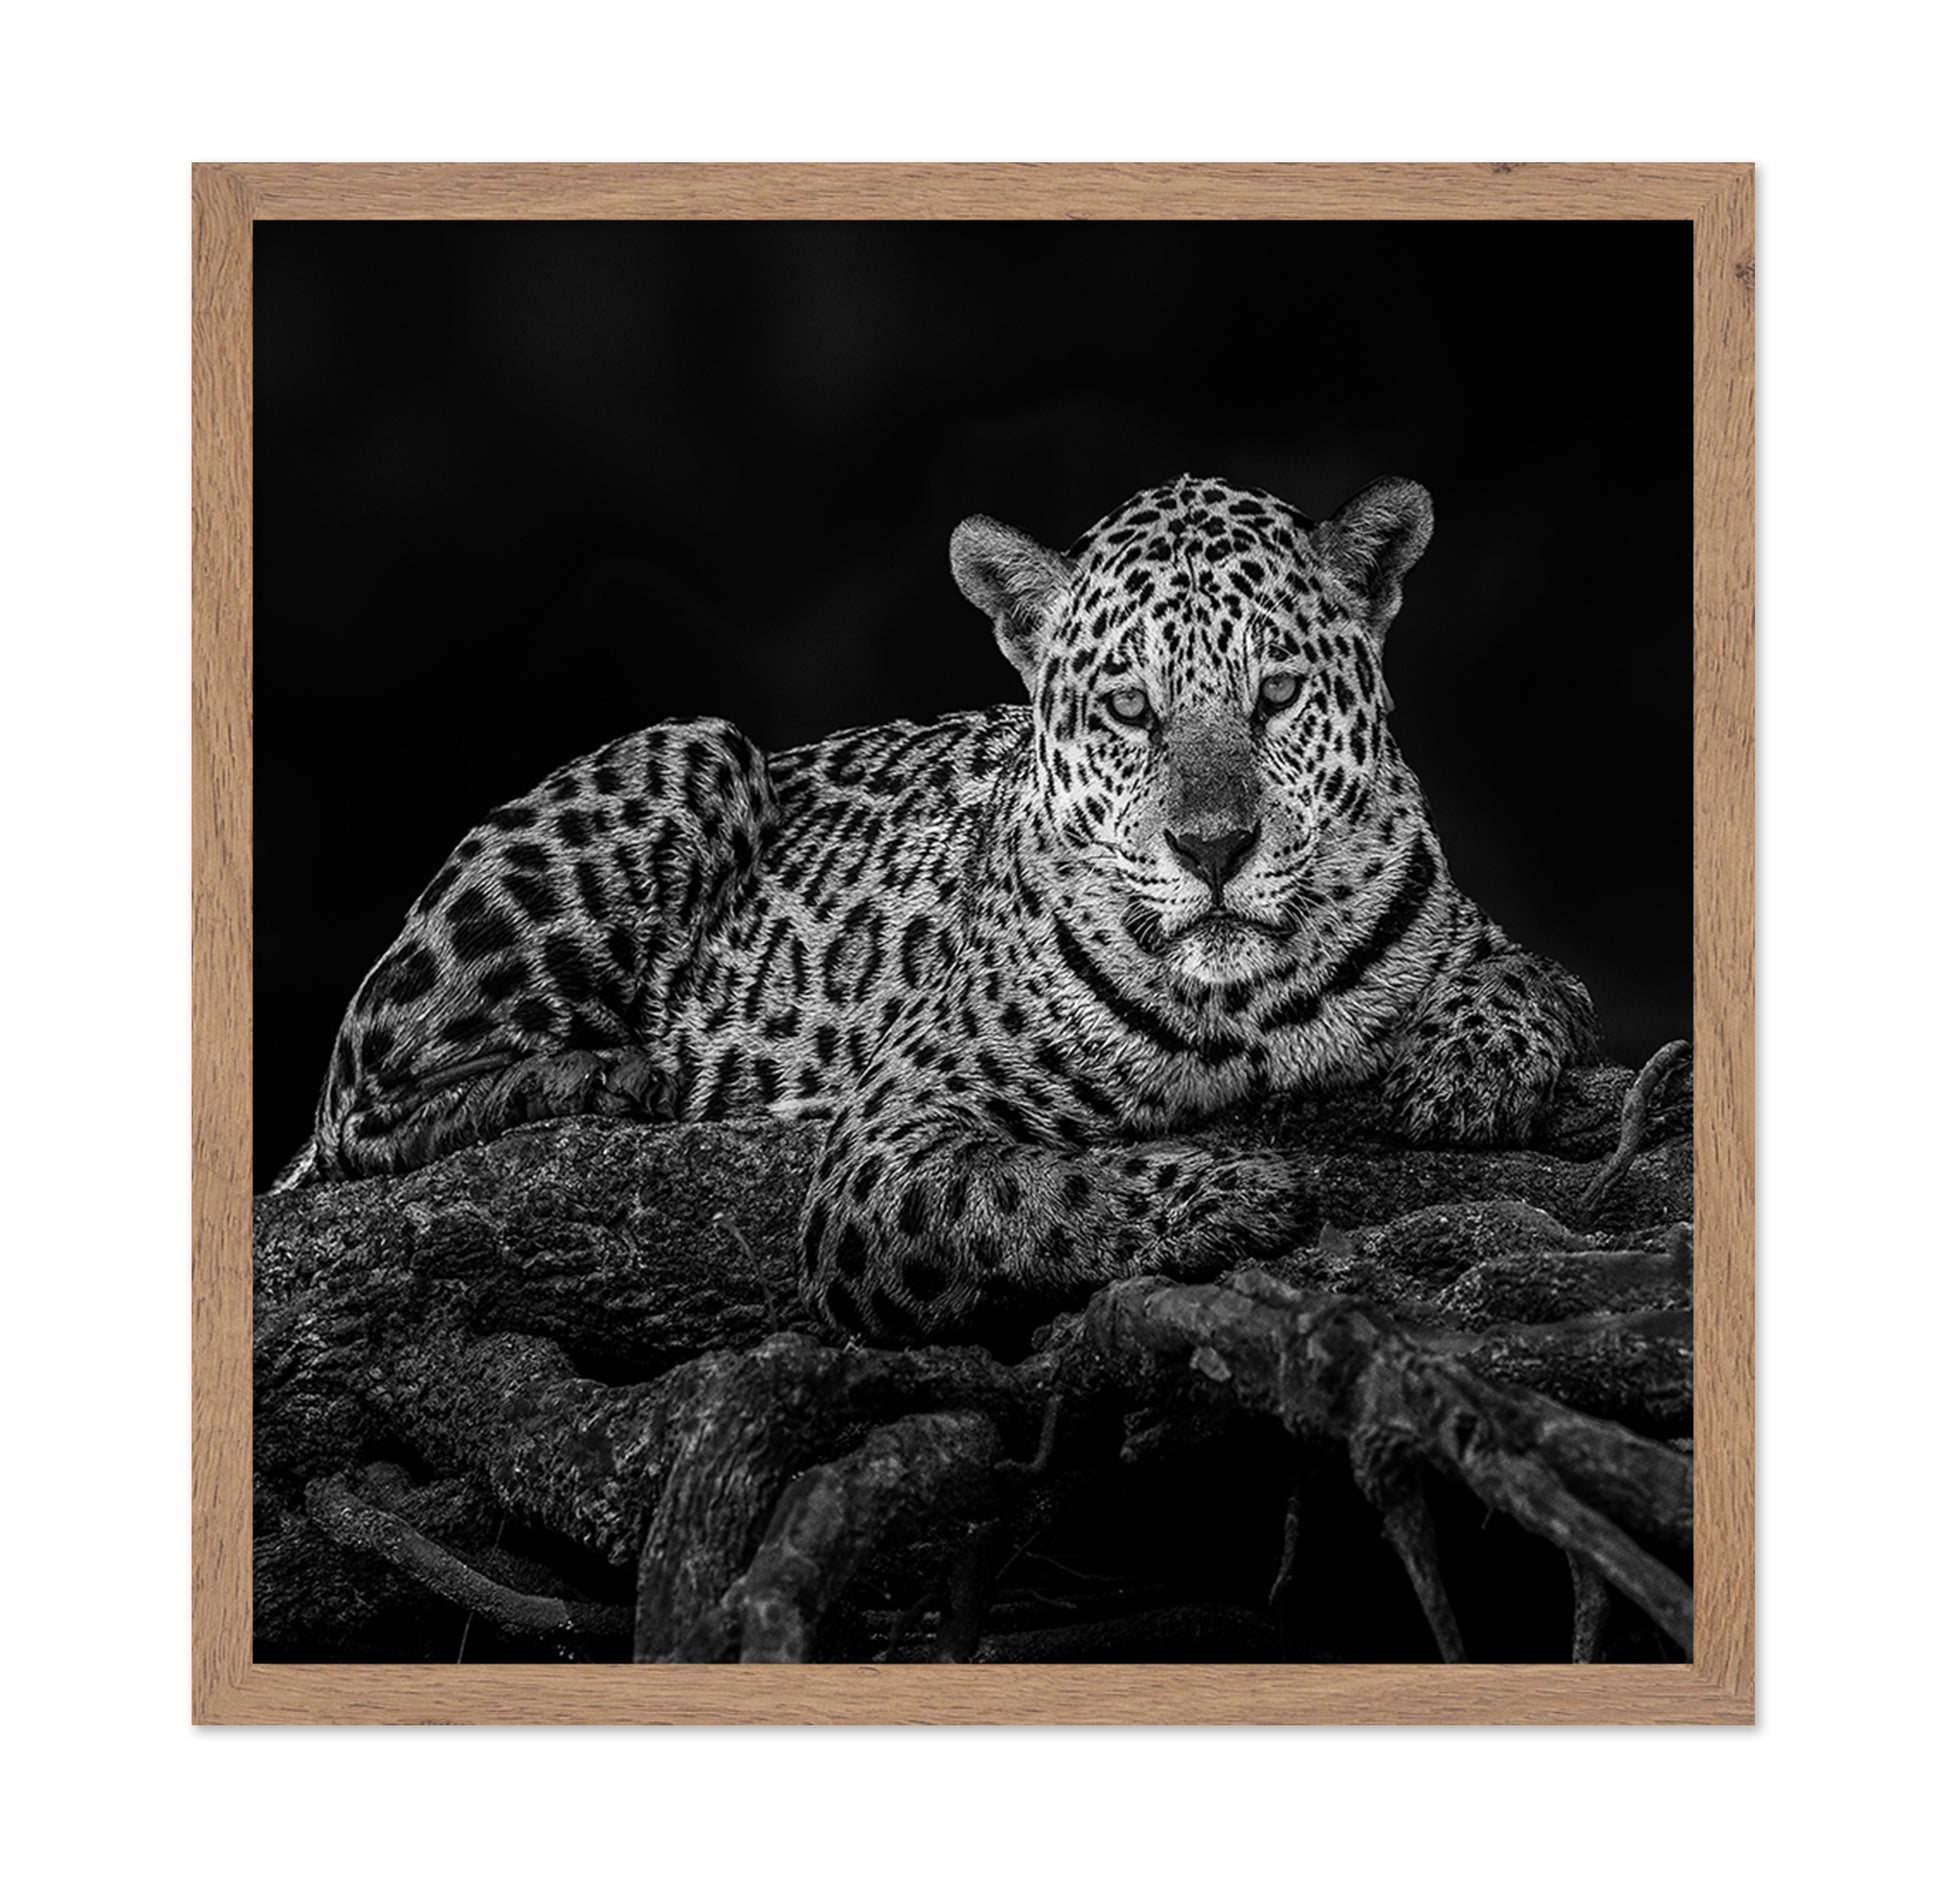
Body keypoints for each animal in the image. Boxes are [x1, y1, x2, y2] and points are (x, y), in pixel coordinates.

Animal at [274, 473, 1599, 1344]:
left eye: (1273, 695)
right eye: (1129, 709)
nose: (1213, 848)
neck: (1245, 1001)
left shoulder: (1480, 938)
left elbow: (1531, 977)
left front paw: (1466, 1071)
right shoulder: (885, 1147)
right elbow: (1031, 1194)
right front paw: (1226, 1192)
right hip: (693, 747)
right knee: (358, 1109)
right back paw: (610, 1075)